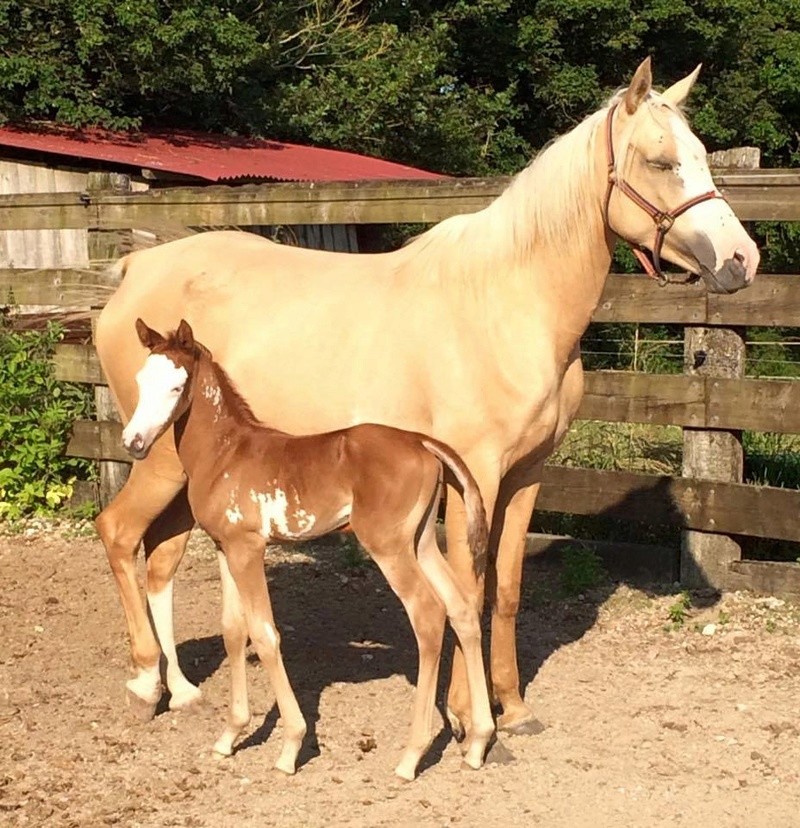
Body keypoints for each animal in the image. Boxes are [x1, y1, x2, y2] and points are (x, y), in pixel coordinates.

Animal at [120, 320, 494, 780]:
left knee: (427, 614)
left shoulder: (249, 550)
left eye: (176, 386)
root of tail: (423, 443)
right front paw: (230, 736)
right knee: (461, 608)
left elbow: (265, 634)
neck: (226, 452)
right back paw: (477, 742)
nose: (134, 442)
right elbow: (233, 631)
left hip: (389, 547)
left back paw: (411, 756)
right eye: (141, 381)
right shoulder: (227, 547)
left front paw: (290, 747)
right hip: (420, 541)